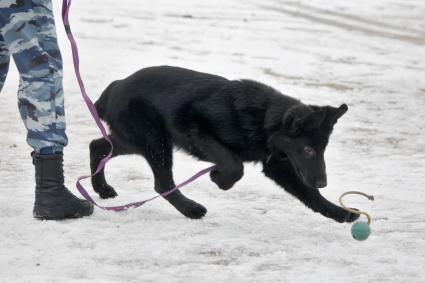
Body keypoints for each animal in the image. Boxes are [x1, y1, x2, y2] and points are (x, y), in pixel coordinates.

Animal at [89, 65, 358, 223]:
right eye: (307, 149)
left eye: (322, 149)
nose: (323, 182)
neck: (264, 120)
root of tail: (117, 85)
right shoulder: (195, 128)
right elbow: (234, 165)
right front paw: (220, 179)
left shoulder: (278, 165)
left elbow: (309, 195)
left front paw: (339, 213)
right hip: (155, 141)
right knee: (162, 183)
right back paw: (191, 209)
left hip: (138, 140)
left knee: (98, 146)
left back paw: (102, 188)